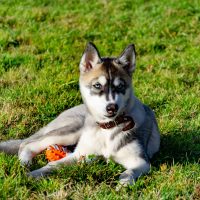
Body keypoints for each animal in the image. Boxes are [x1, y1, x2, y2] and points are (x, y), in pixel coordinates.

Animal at [0, 43, 159, 185]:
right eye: (97, 85)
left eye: (120, 86)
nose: (112, 108)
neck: (108, 128)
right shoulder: (80, 154)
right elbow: (53, 165)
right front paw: (30, 176)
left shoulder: (141, 162)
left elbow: (128, 172)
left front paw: (124, 184)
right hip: (70, 131)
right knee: (27, 144)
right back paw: (24, 164)